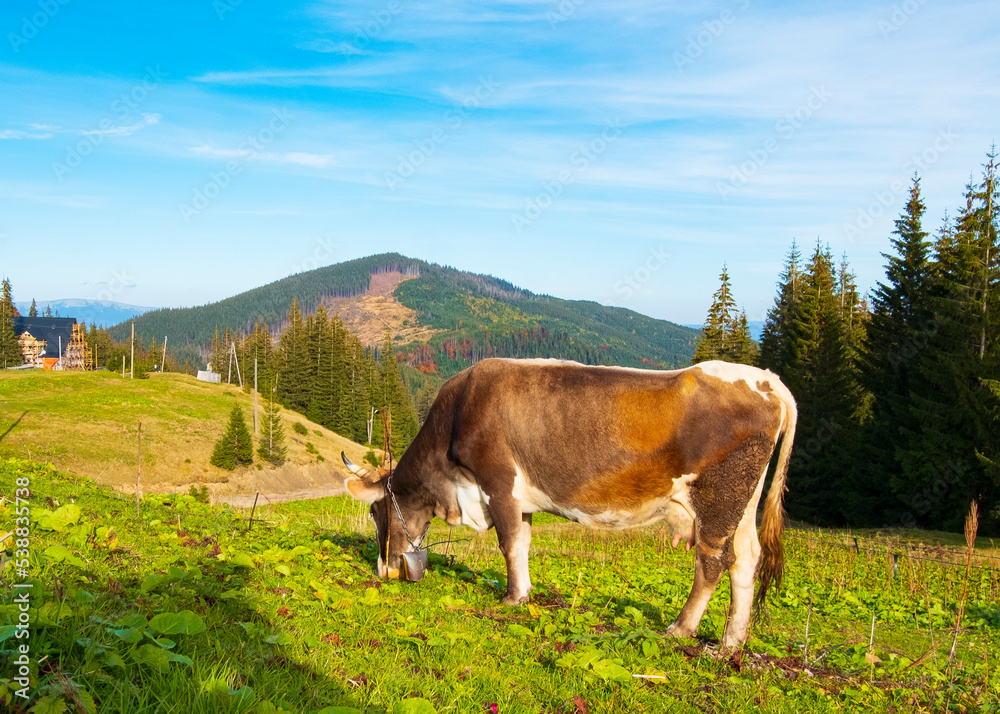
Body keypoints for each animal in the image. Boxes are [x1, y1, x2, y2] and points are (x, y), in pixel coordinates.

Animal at [341, 358, 796, 648]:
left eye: (375, 511)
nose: (383, 570)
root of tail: (768, 380)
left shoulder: (498, 483)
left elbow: (508, 543)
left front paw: (511, 599)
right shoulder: (521, 499)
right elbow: (523, 543)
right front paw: (525, 592)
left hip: (719, 496)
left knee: (712, 561)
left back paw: (682, 629)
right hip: (743, 504)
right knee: (746, 560)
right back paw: (731, 641)